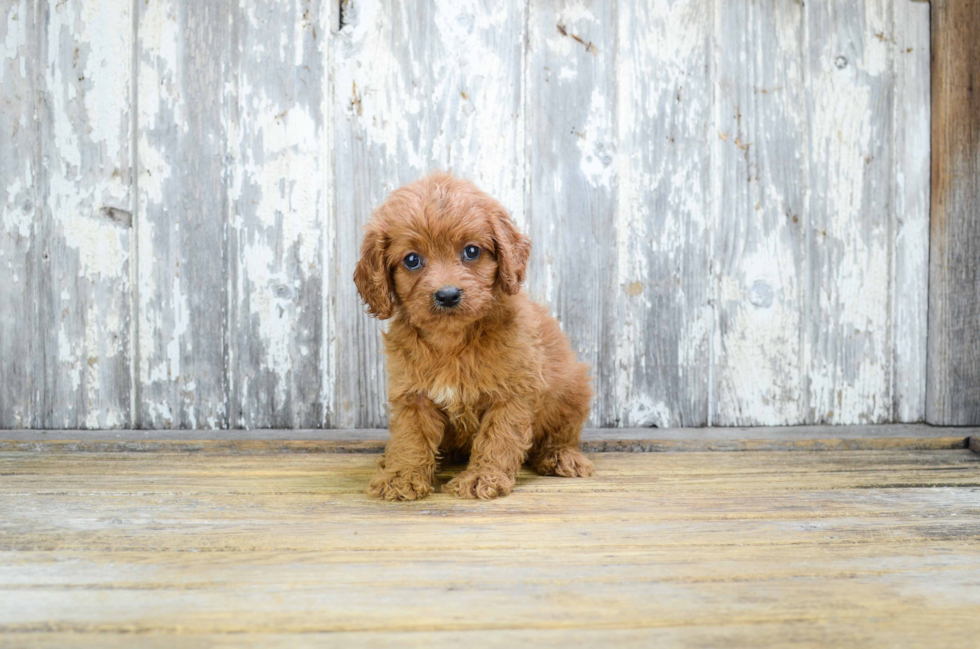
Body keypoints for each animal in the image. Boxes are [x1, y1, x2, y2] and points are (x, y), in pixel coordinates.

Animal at [356, 172, 592, 502]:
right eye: (412, 260)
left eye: (471, 251)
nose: (447, 295)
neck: (452, 339)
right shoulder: (412, 394)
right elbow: (411, 437)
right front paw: (401, 476)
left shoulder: (513, 391)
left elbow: (498, 436)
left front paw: (483, 477)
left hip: (572, 389)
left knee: (561, 434)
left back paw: (560, 456)